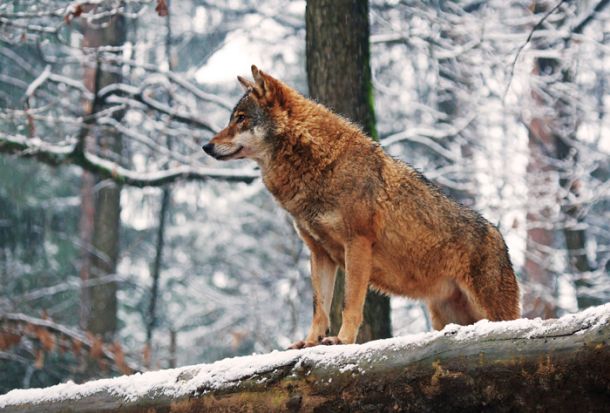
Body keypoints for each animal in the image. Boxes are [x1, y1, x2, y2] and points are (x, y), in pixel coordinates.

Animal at [203, 65, 516, 348]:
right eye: (232, 119)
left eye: (241, 119)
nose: (206, 146)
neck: (320, 165)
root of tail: (500, 239)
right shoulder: (319, 253)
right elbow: (319, 307)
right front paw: (310, 342)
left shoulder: (357, 244)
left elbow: (348, 303)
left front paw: (341, 340)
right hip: (445, 315)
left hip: (492, 311)